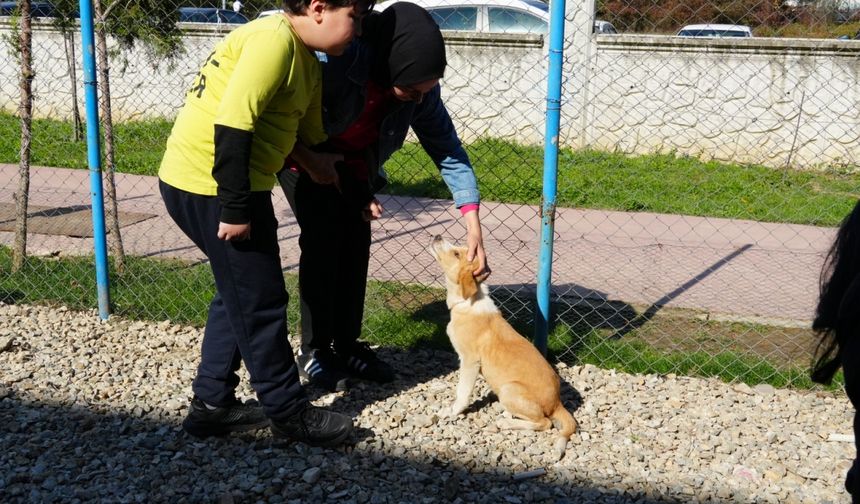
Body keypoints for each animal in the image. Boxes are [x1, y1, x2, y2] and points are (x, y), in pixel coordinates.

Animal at [430, 236, 576, 460]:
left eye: (456, 254)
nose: (437, 236)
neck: (467, 302)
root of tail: (557, 402)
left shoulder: (470, 361)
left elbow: (462, 391)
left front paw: (452, 411)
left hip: (509, 388)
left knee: (545, 422)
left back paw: (506, 422)